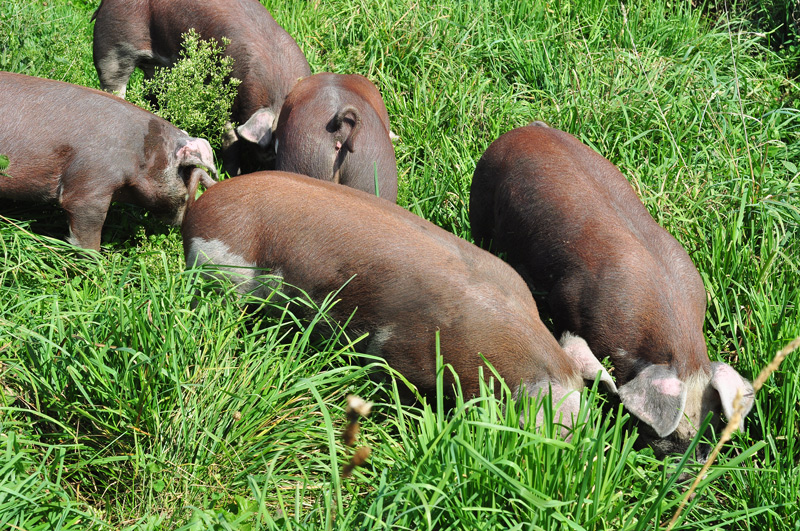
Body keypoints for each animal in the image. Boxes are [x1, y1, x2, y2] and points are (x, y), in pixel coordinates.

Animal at [0, 72, 217, 251]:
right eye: (186, 171)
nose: (182, 221)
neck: (139, 152)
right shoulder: (91, 180)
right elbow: (87, 228)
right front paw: (96, 263)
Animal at [91, 0, 312, 175]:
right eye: (274, 148)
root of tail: (104, 3)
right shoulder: (221, 92)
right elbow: (229, 137)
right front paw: (230, 174)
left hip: (157, 66)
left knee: (152, 90)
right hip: (112, 44)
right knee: (114, 84)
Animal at [469, 122, 754, 458]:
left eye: (711, 423)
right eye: (663, 432)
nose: (690, 467)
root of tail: (525, 129)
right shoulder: (567, 300)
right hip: (480, 201)